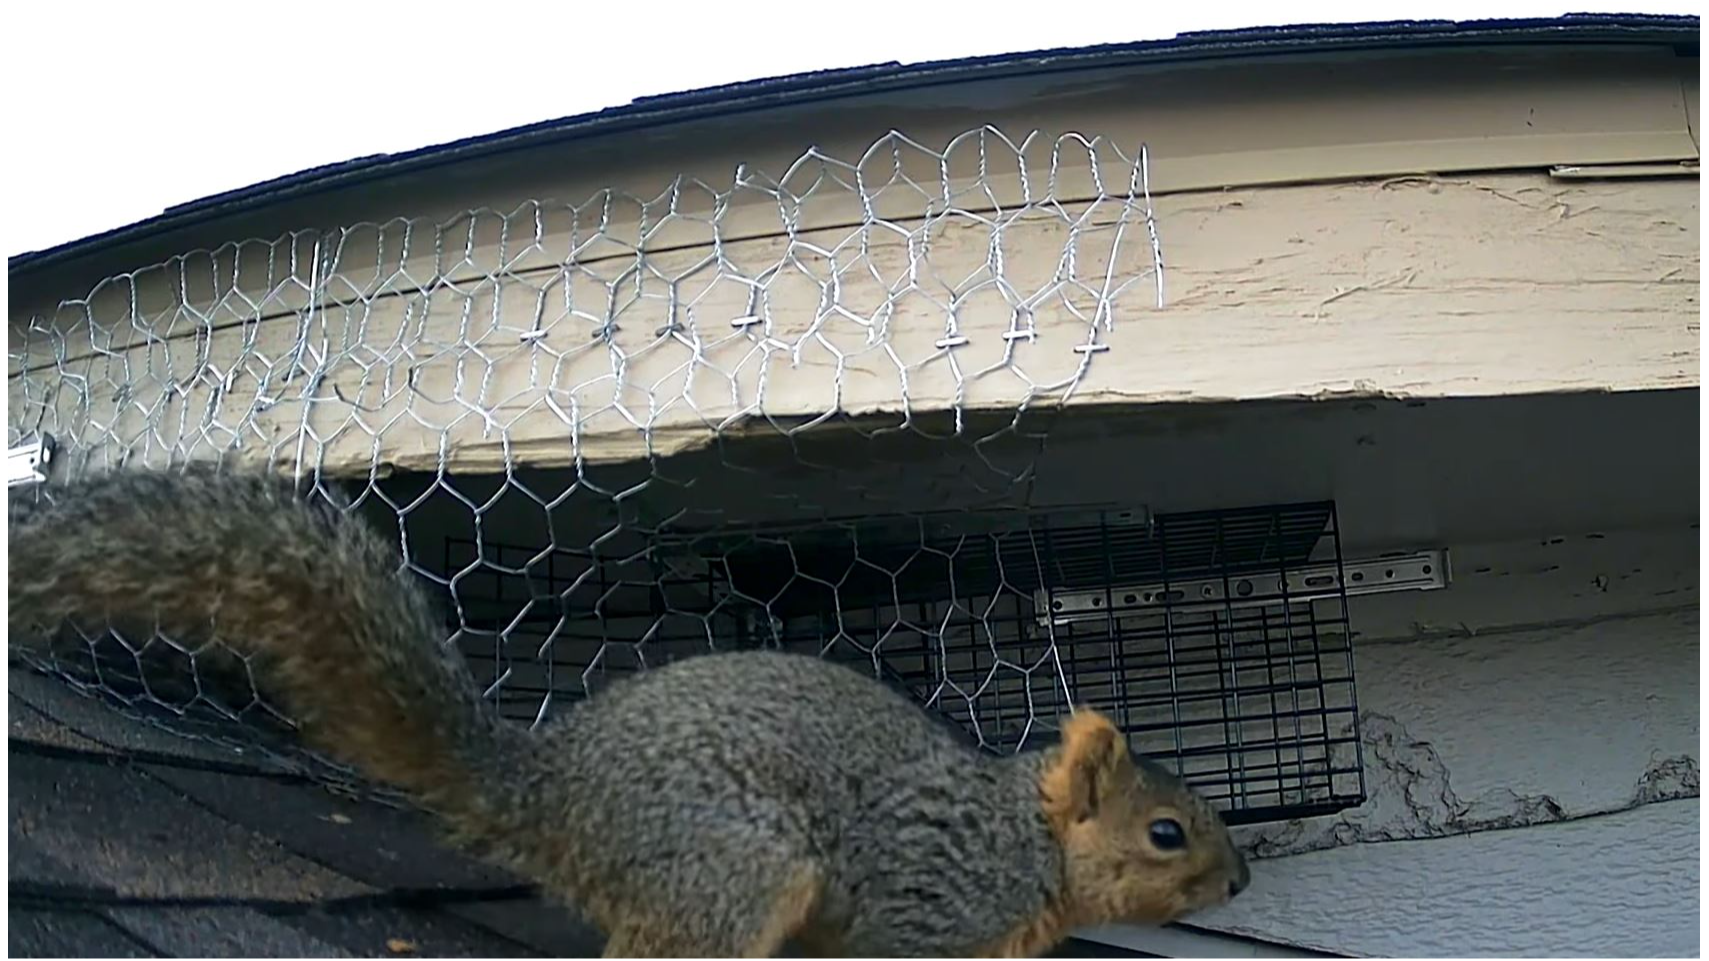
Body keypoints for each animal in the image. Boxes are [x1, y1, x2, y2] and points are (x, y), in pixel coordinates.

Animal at [8, 466, 1251, 959]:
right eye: (1165, 831)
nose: (1239, 880)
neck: (1028, 852)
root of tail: (550, 793)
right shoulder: (923, 908)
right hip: (729, 868)